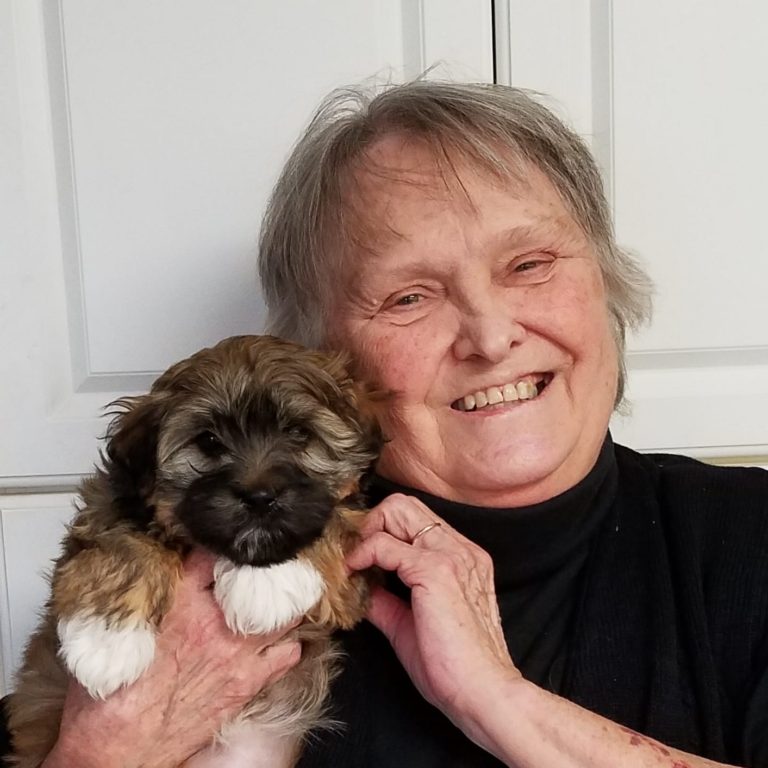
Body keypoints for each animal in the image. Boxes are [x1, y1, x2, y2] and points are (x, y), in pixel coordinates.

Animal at [6, 336, 384, 768]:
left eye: (298, 433)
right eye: (208, 441)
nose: (259, 497)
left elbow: (337, 520)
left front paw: (267, 582)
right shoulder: (108, 504)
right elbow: (123, 542)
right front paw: (107, 642)